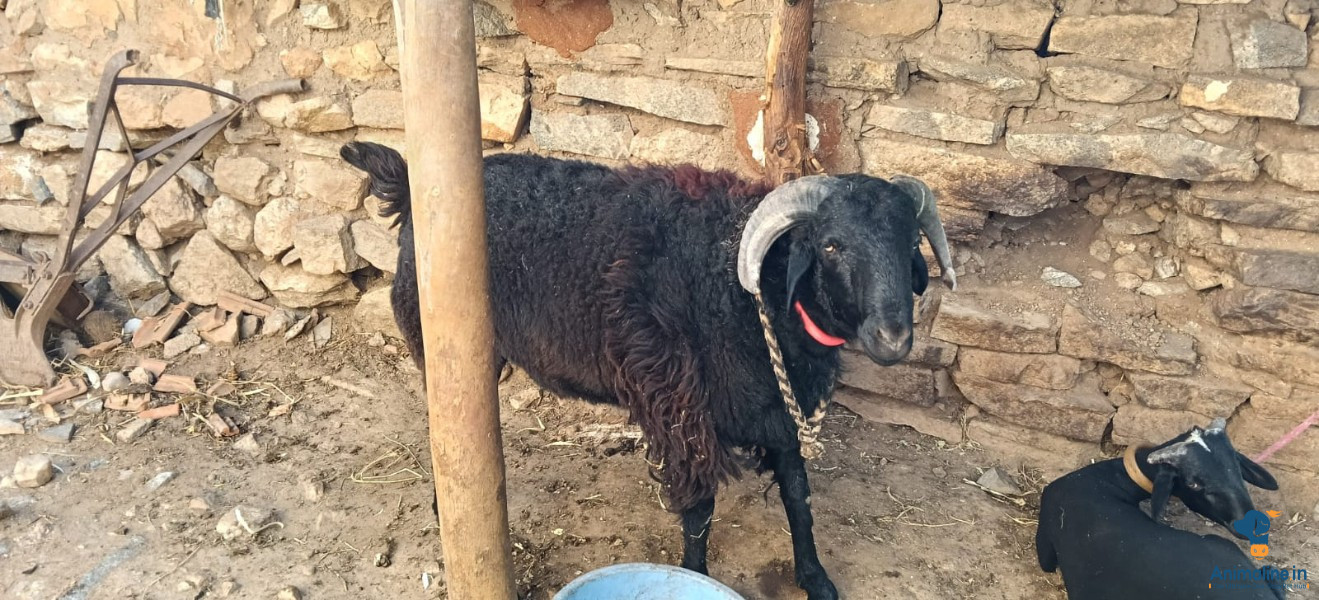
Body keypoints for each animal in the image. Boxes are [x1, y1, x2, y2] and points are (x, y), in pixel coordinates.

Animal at [340, 141, 957, 600]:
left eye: (911, 241)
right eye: (831, 245)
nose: (894, 339)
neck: (746, 289)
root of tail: (409, 188)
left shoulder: (777, 407)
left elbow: (799, 499)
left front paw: (816, 578)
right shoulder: (683, 409)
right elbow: (700, 509)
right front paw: (694, 576)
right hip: (442, 340)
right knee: (445, 427)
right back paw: (449, 509)